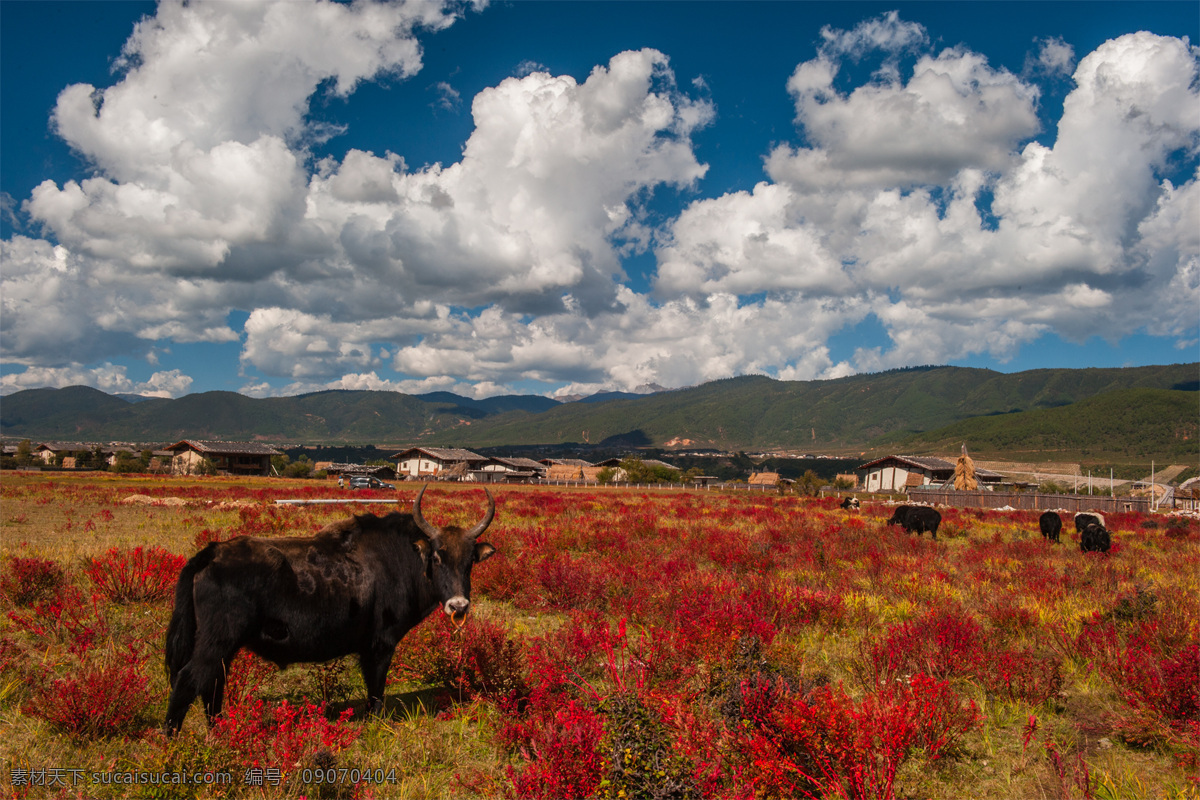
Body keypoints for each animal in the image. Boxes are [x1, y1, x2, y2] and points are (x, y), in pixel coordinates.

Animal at [162, 484, 494, 734]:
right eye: (437, 558)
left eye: (470, 561)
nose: (458, 605)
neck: (403, 558)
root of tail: (212, 552)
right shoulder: (380, 645)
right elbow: (376, 690)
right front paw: (374, 725)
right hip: (216, 641)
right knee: (189, 680)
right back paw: (171, 741)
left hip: (225, 647)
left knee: (212, 684)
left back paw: (220, 732)